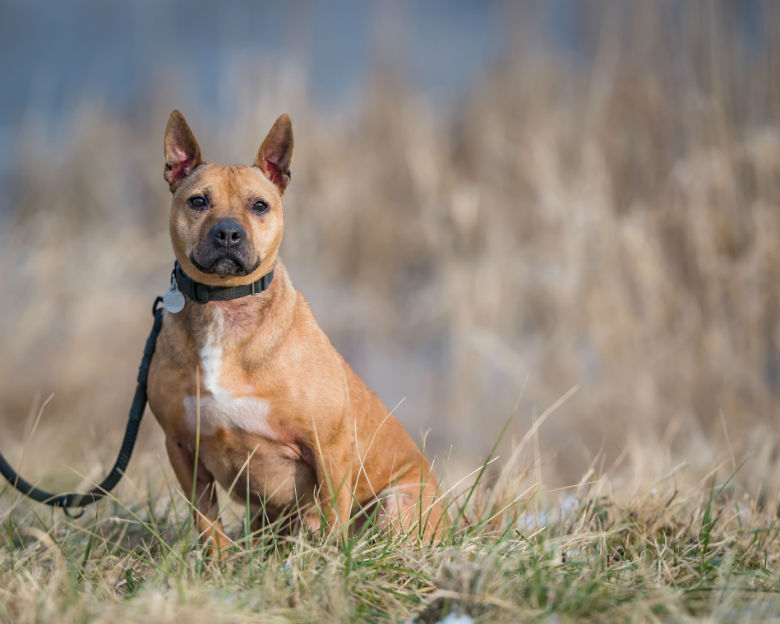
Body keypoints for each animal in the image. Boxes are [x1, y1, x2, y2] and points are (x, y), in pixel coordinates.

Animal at [145, 112, 438, 552]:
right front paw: (216, 563)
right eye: (198, 201)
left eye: (259, 205)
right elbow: (207, 523)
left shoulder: (330, 448)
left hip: (397, 502)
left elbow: (333, 517)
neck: (224, 305)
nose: (228, 232)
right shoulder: (181, 446)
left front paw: (331, 561)